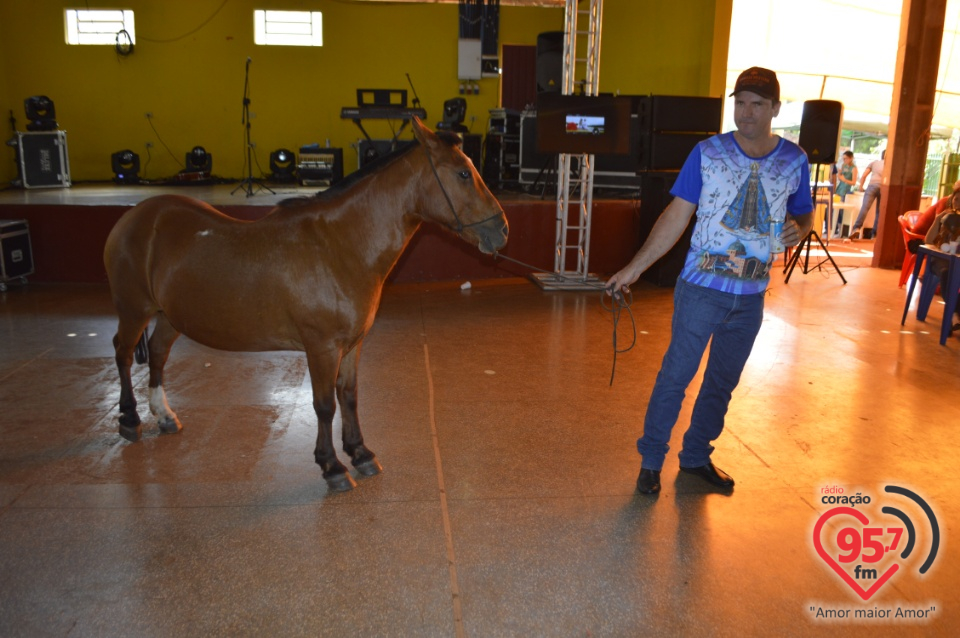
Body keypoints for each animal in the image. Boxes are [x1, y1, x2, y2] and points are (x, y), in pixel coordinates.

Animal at [103, 117, 510, 492]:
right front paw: (332, 466)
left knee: (157, 354)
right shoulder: (322, 347)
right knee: (123, 353)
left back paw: (164, 416)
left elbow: (349, 397)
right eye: (463, 173)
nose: (502, 230)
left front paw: (360, 453)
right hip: (135, 309)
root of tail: (134, 216)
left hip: (168, 316)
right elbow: (325, 405)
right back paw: (129, 419)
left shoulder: (352, 345)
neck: (338, 246)